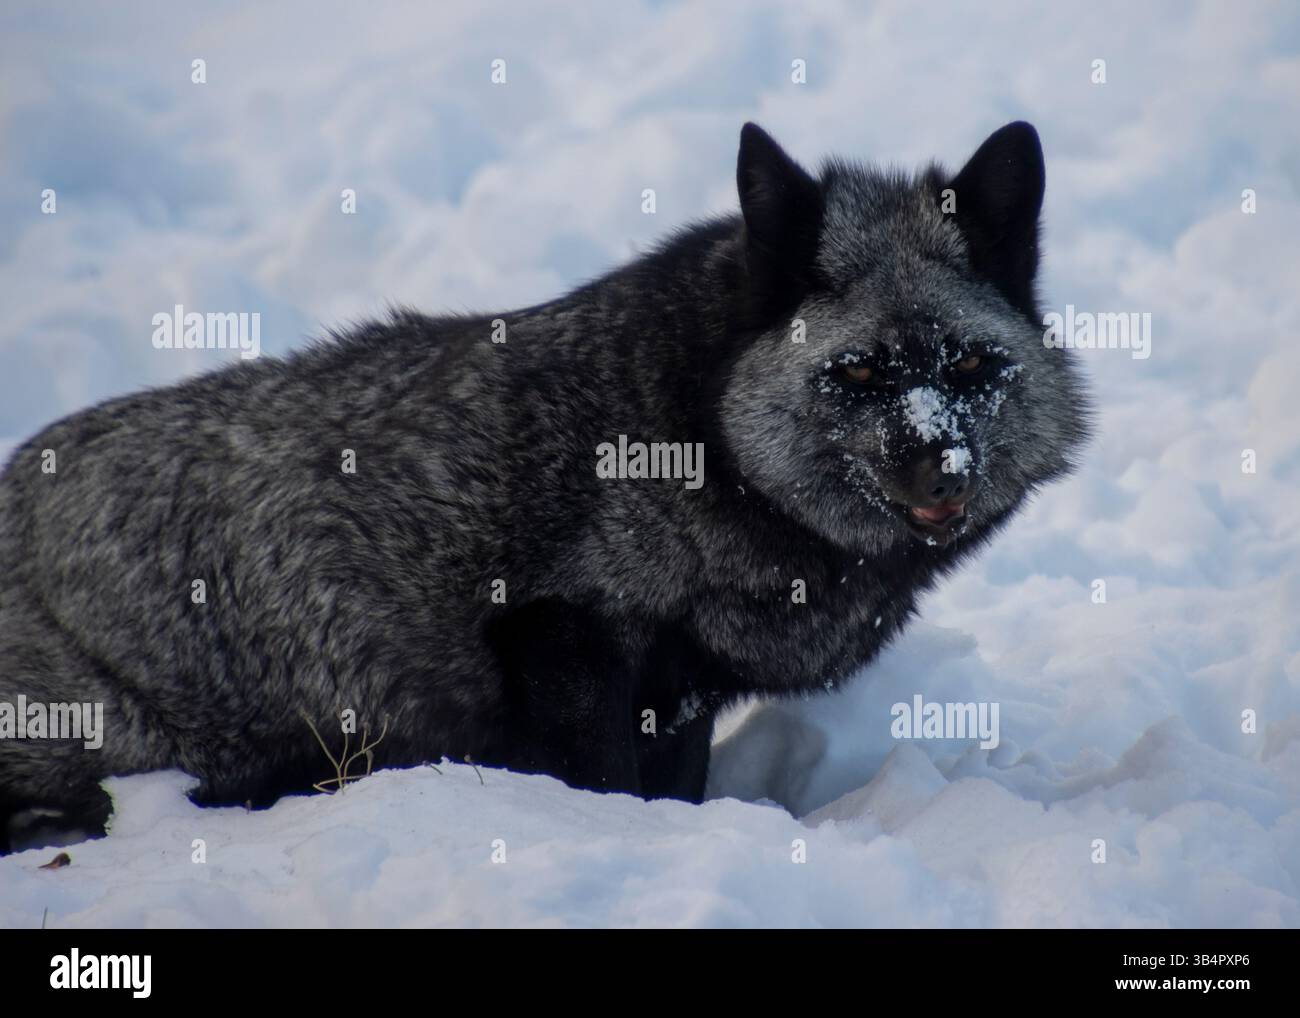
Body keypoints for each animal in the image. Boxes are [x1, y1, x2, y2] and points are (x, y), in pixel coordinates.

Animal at [0, 121, 1088, 850]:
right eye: (859, 373)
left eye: (970, 365)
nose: (943, 464)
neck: (694, 435)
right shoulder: (562, 631)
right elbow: (610, 792)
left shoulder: (680, 686)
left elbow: (675, 789)